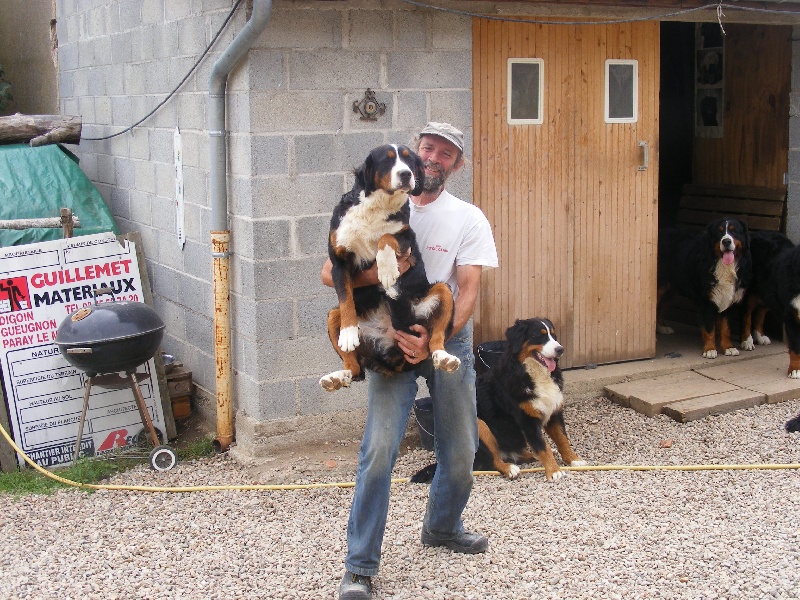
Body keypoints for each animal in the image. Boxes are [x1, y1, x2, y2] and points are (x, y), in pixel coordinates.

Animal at [318, 143, 460, 392]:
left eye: (409, 161)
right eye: (387, 159)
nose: (406, 174)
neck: (377, 207)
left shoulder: (406, 237)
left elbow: (386, 236)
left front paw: (386, 271)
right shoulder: (338, 262)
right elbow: (346, 301)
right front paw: (347, 334)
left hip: (438, 295)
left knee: (434, 341)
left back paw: (444, 358)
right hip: (333, 316)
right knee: (355, 370)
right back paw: (336, 377)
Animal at [412, 318, 588, 482]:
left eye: (553, 334)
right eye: (539, 335)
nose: (560, 349)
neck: (532, 374)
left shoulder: (553, 411)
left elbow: (562, 439)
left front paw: (573, 459)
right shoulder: (527, 420)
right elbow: (542, 446)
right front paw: (554, 471)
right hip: (480, 426)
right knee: (494, 460)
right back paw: (510, 469)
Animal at [656, 218, 752, 358]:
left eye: (734, 231)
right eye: (719, 232)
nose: (726, 241)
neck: (723, 266)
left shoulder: (729, 300)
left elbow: (726, 328)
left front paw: (728, 347)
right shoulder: (707, 301)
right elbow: (709, 328)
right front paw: (710, 349)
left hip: (671, 289)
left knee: (661, 306)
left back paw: (661, 327)